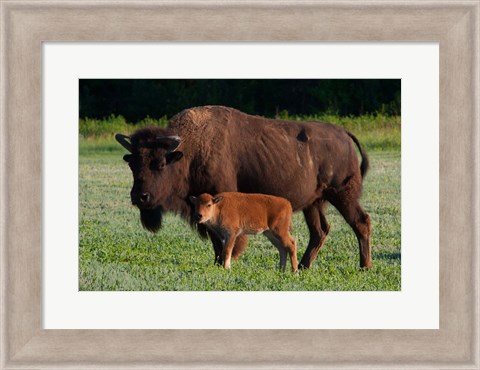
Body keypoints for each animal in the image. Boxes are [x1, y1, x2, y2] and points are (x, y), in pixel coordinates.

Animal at [115, 105, 372, 268]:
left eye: (159, 164)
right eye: (132, 164)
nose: (140, 197)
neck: (188, 152)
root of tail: (344, 134)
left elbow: (223, 240)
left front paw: (225, 263)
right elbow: (215, 239)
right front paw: (217, 263)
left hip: (342, 195)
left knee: (361, 222)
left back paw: (364, 266)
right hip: (314, 203)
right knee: (319, 231)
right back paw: (304, 266)